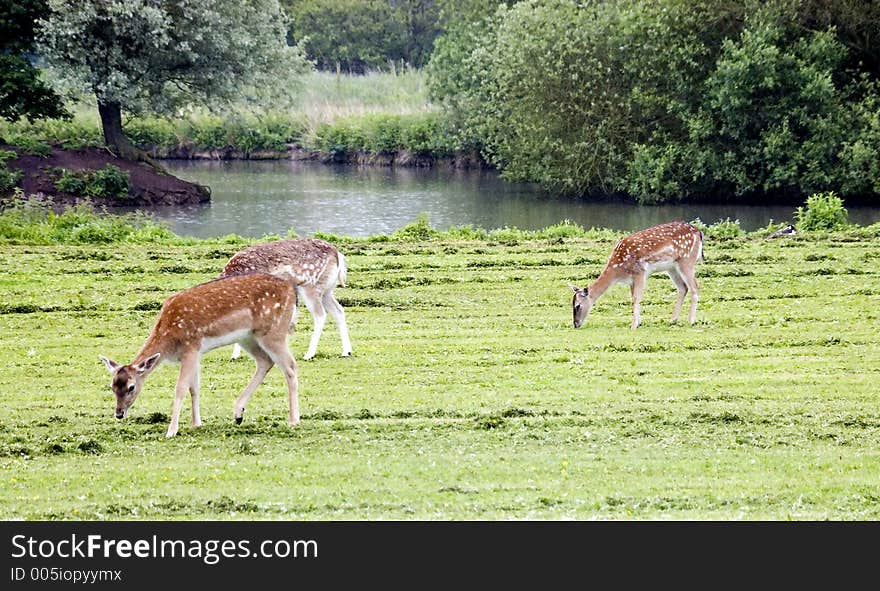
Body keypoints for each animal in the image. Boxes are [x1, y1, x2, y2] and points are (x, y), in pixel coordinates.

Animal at [99, 272, 300, 434]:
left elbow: (180, 388)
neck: (168, 338)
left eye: (131, 387)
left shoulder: (190, 345)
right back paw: (238, 414)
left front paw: (172, 430)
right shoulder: (196, 352)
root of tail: (292, 291)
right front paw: (196, 423)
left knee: (290, 366)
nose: (119, 413)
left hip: (274, 331)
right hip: (248, 337)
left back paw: (294, 420)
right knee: (265, 361)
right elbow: (194, 387)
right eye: (112, 386)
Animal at [220, 237, 350, 360]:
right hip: (327, 290)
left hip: (310, 285)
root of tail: (338, 255)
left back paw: (309, 354)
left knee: (320, 315)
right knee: (338, 310)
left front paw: (236, 355)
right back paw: (346, 352)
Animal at [568, 221, 704, 330]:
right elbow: (633, 297)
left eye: (578, 306)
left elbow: (636, 298)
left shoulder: (640, 272)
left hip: (686, 260)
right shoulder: (631, 280)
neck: (618, 270)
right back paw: (672, 320)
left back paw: (691, 321)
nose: (575, 324)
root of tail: (699, 232)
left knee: (694, 287)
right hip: (672, 267)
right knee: (683, 288)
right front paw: (638, 323)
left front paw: (633, 325)